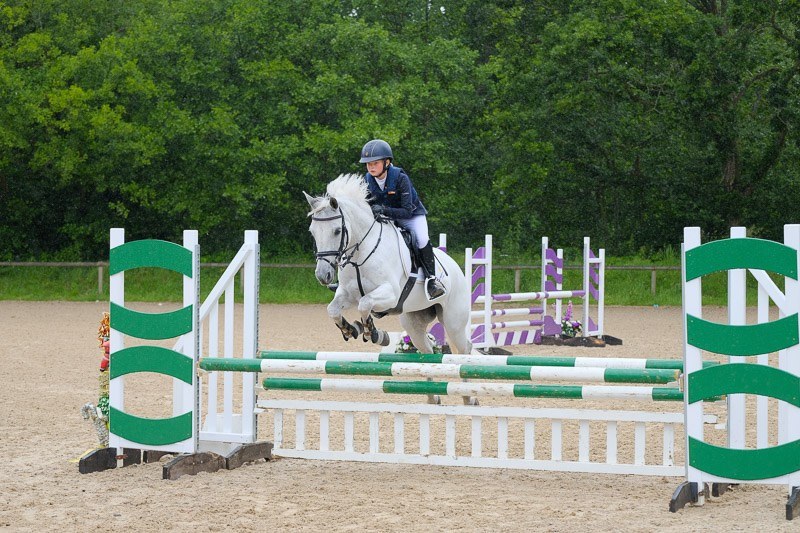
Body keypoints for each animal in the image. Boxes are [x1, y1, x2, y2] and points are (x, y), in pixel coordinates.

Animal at [304, 172, 472, 360]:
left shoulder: (391, 294)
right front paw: (351, 329)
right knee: (427, 349)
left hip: (453, 322)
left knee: (465, 347)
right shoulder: (347, 294)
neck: (360, 256)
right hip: (414, 322)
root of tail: (456, 268)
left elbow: (365, 303)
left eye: (337, 231)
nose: (322, 275)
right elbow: (332, 309)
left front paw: (372, 332)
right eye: (312, 232)